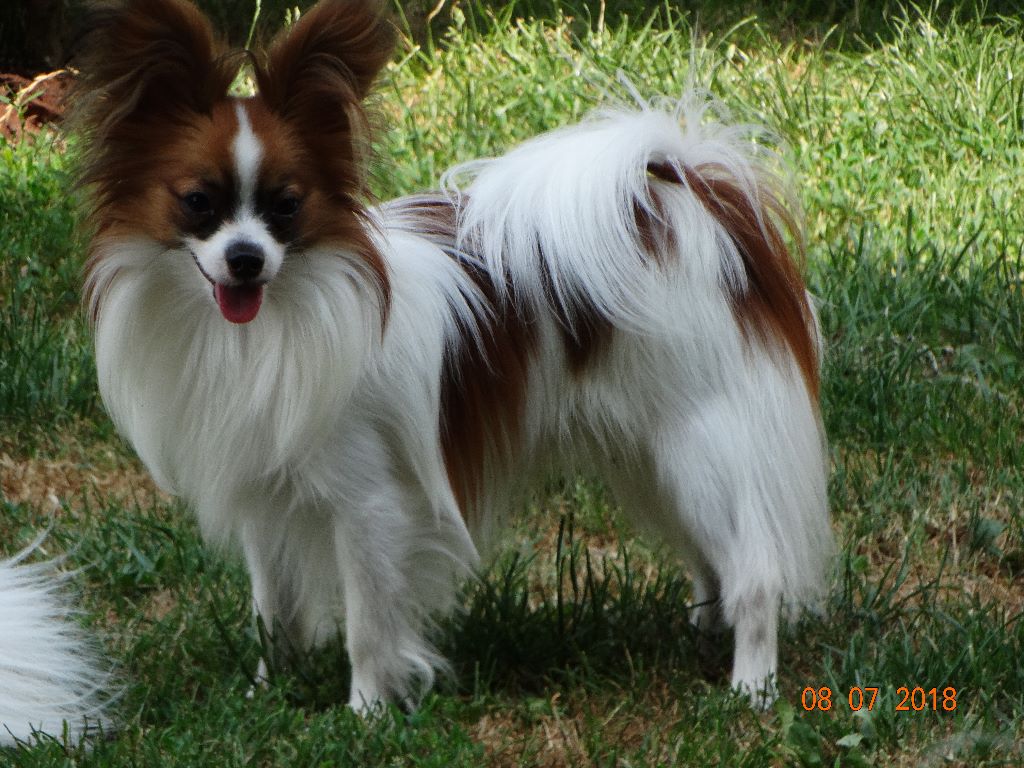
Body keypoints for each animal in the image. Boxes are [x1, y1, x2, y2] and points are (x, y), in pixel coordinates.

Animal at [74, 0, 832, 711]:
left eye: (286, 207)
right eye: (198, 203)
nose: (245, 259)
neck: (266, 324)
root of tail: (697, 204)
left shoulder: (369, 503)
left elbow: (369, 625)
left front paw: (365, 713)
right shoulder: (269, 493)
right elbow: (275, 615)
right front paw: (267, 698)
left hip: (700, 442)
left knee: (755, 571)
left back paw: (751, 688)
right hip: (652, 456)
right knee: (712, 561)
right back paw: (704, 637)